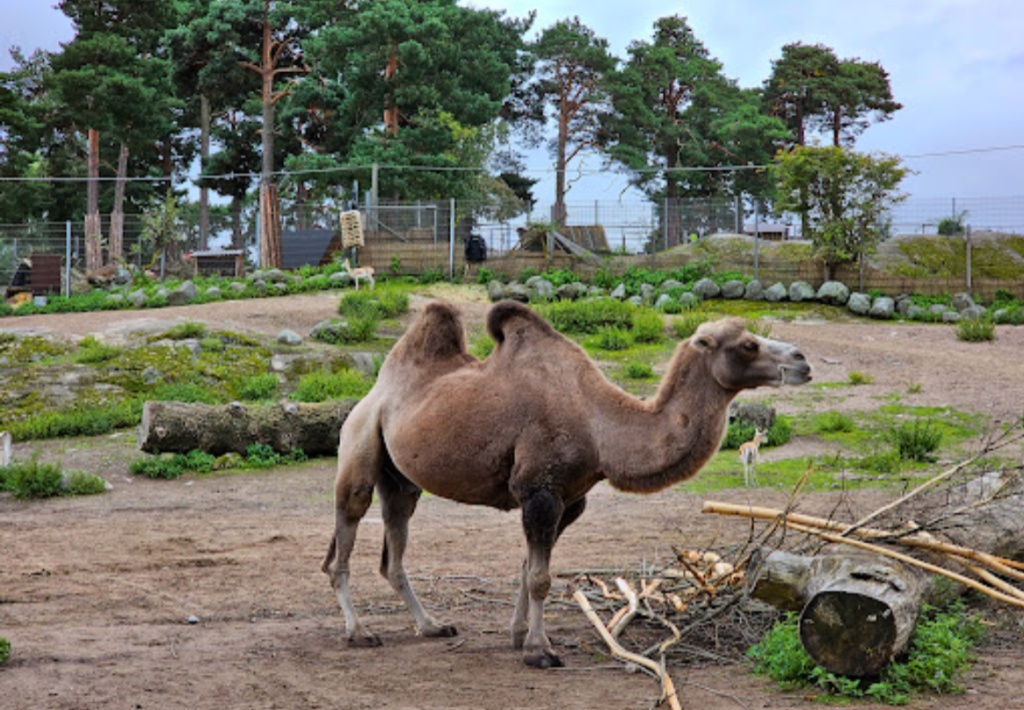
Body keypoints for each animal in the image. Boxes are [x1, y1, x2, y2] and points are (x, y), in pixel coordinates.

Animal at [323, 301, 811, 667]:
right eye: (748, 344)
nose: (802, 361)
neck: (599, 426)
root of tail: (374, 392)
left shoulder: (570, 500)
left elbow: (528, 569)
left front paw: (520, 635)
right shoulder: (540, 490)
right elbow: (540, 577)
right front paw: (540, 651)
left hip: (401, 477)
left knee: (394, 541)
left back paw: (431, 626)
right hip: (359, 442)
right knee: (345, 533)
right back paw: (358, 632)